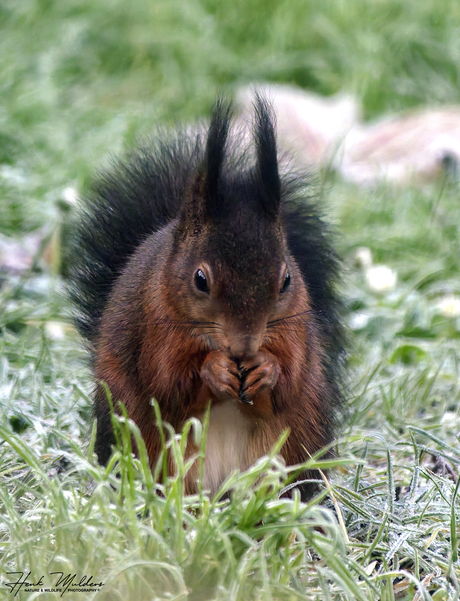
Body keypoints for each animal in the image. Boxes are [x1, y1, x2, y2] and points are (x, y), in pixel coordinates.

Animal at [70, 96, 344, 500]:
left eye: (286, 280)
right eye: (200, 279)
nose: (244, 347)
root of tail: (218, 488)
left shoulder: (295, 326)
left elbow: (290, 380)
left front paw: (267, 368)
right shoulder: (155, 325)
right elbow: (166, 383)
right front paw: (213, 369)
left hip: (299, 436)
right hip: (139, 437)